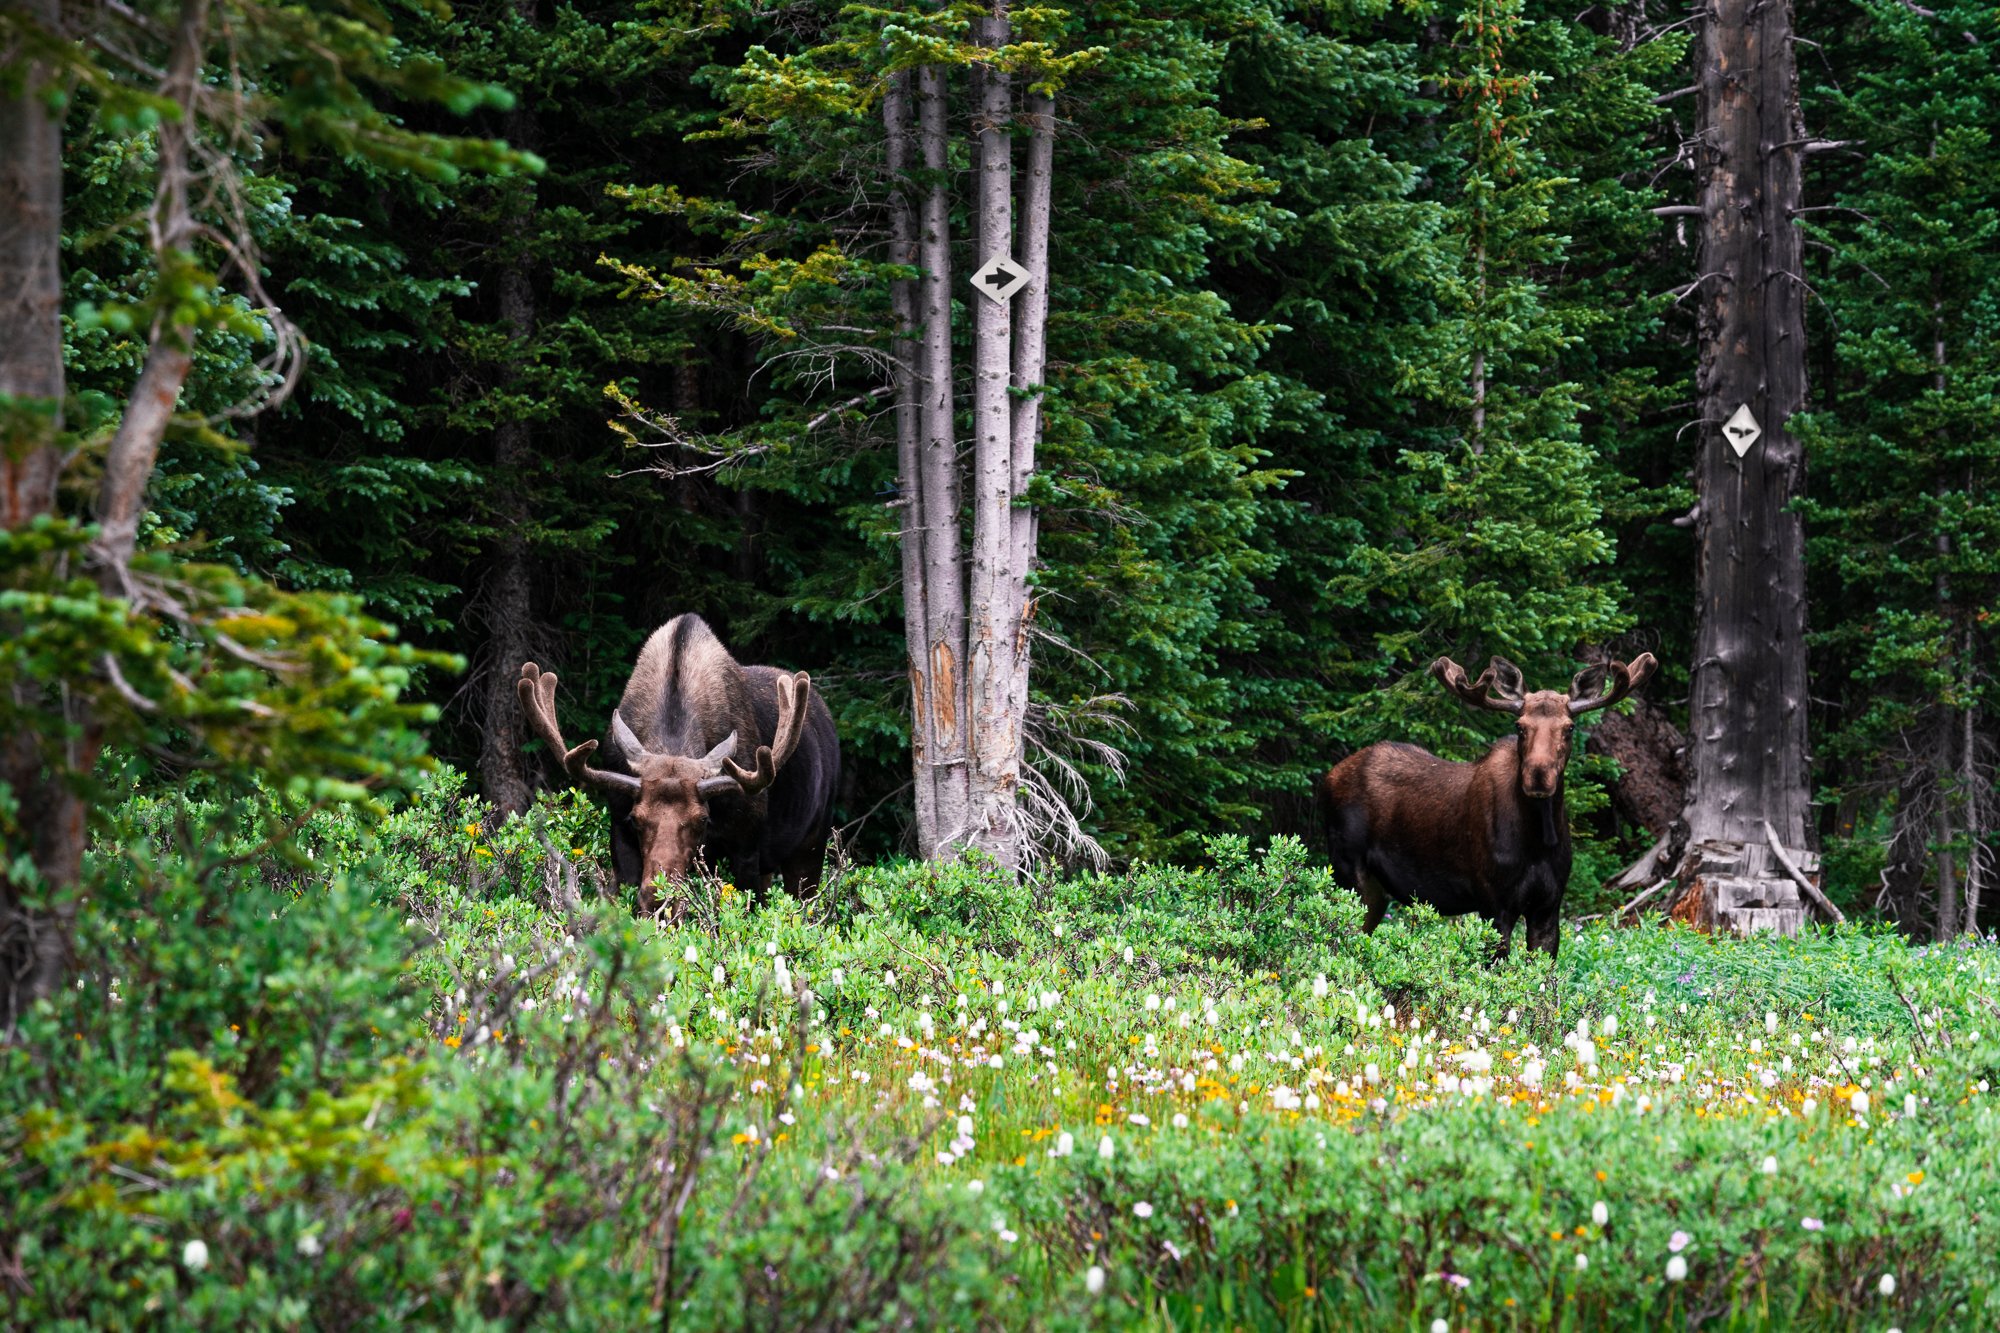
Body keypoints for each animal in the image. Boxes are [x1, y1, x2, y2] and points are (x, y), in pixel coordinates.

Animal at [518, 614, 840, 913]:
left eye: (702, 820)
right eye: (636, 819)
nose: (659, 899)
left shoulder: (747, 844)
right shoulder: (619, 829)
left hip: (812, 842)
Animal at [1315, 652, 1658, 958]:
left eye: (1569, 727)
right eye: (1520, 726)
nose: (1538, 775)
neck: (1537, 842)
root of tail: (1328, 777)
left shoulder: (1549, 906)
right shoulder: (1494, 903)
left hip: (1375, 892)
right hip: (1348, 872)